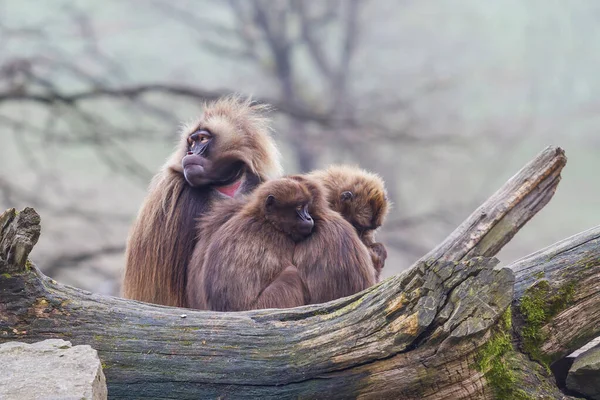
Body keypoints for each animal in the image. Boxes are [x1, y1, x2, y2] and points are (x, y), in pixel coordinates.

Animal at [190, 178, 314, 312]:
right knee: (291, 273)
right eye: (299, 207)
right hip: (266, 303)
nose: (308, 218)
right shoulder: (282, 239)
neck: (266, 219)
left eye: (306, 207)